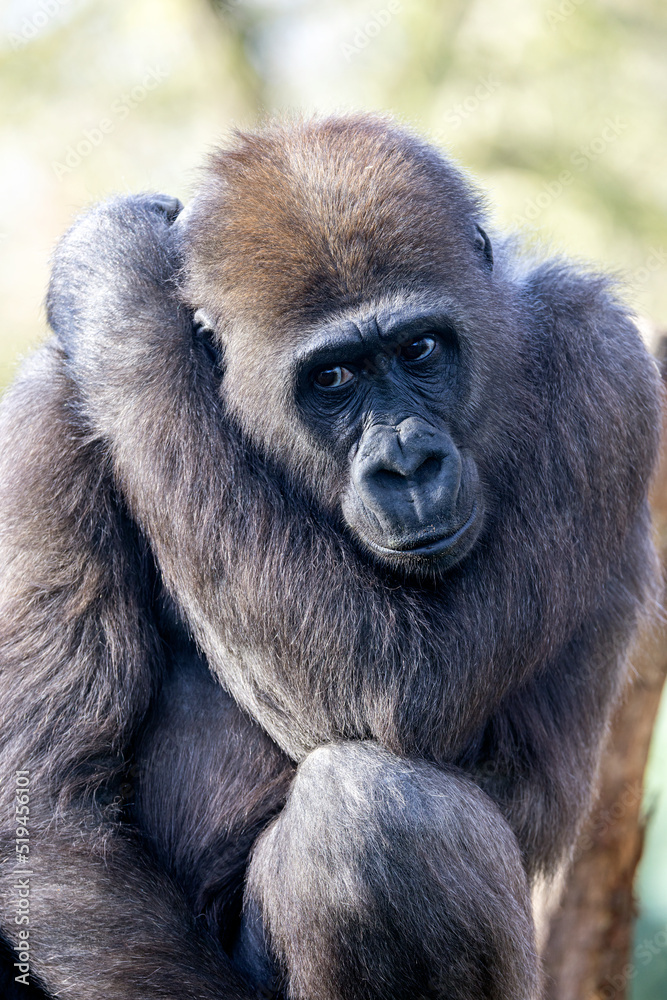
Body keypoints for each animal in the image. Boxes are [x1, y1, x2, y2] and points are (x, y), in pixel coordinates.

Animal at [0, 117, 664, 1000]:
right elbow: (49, 804)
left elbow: (407, 689)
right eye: (334, 376)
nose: (408, 466)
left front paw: (115, 275)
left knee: (381, 818)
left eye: (420, 349)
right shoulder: (46, 417)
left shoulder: (603, 360)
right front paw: (117, 279)